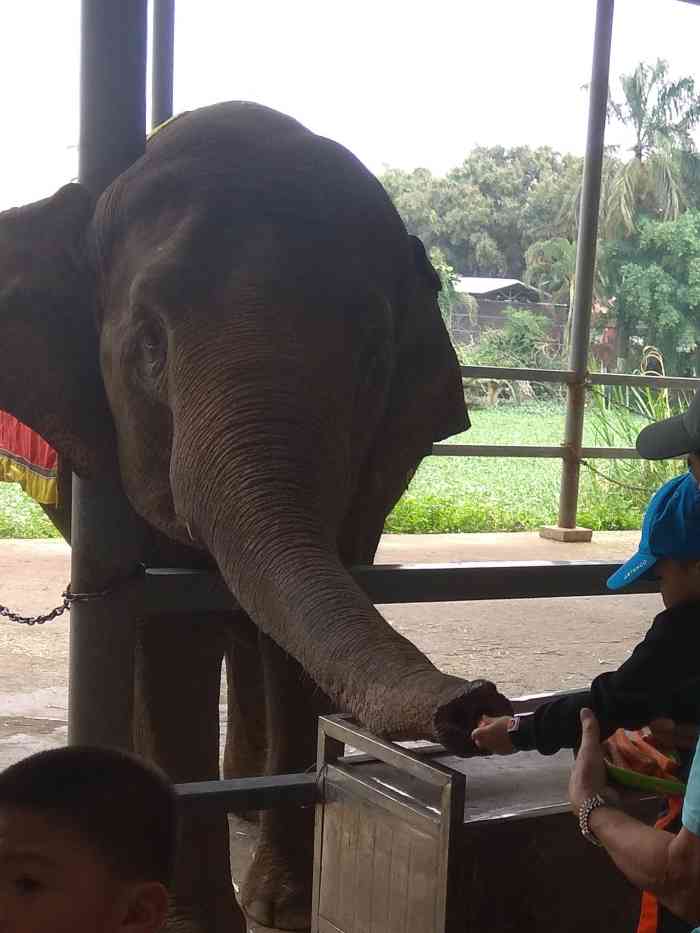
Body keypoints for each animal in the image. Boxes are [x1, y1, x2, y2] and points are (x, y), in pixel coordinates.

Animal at [0, 98, 508, 928]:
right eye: (148, 348)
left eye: (373, 357)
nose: (475, 701)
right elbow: (173, 636)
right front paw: (194, 920)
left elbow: (304, 627)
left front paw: (283, 905)